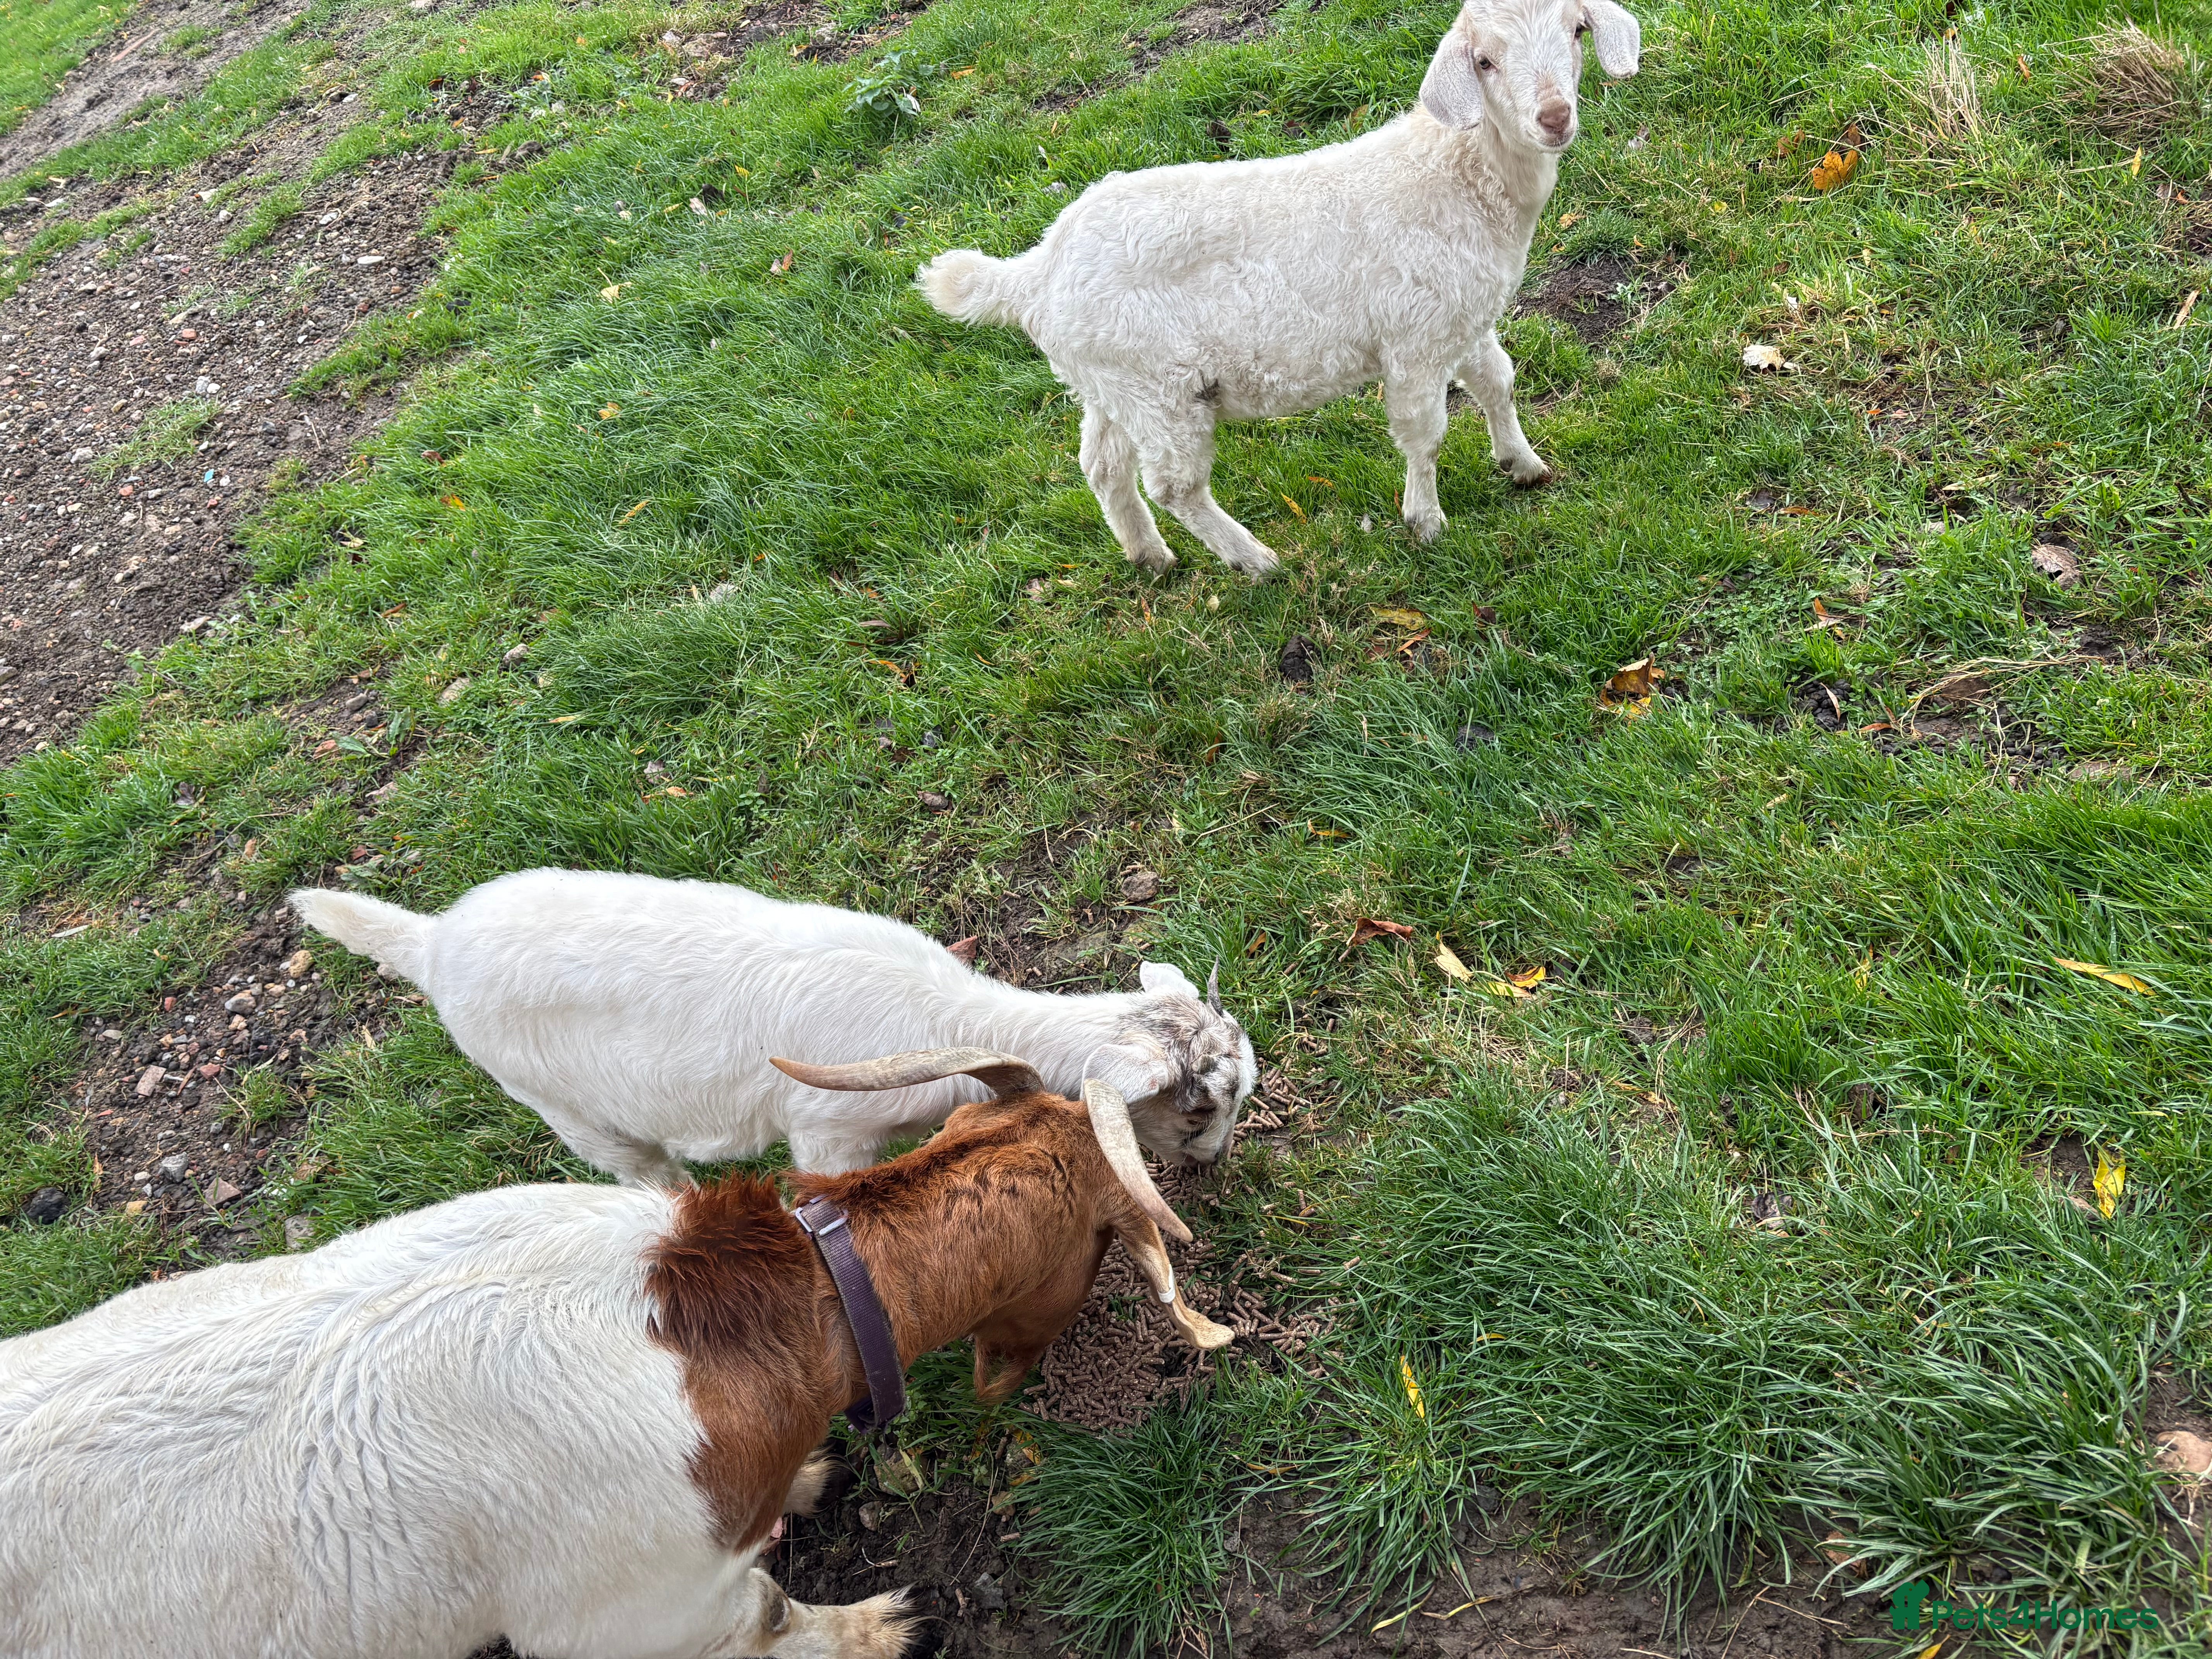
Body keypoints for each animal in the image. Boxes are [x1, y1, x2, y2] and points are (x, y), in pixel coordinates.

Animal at [293, 869, 1254, 1187]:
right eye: (1201, 1108)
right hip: (562, 1105)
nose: (1214, 1167)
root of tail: (432, 942)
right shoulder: (829, 1132)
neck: (957, 1015)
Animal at [917, 0, 1641, 577]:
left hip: (1112, 383)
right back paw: (1253, 559)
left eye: (1577, 31)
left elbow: (1498, 381)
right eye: (1484, 61)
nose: (1554, 117)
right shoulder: (1413, 336)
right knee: (1175, 485)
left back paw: (1149, 555)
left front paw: (1523, 464)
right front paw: (1426, 522)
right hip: (1161, 393)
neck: (1452, 175)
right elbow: (1424, 433)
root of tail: (1036, 271)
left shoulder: (1463, 316)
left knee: (1101, 465)